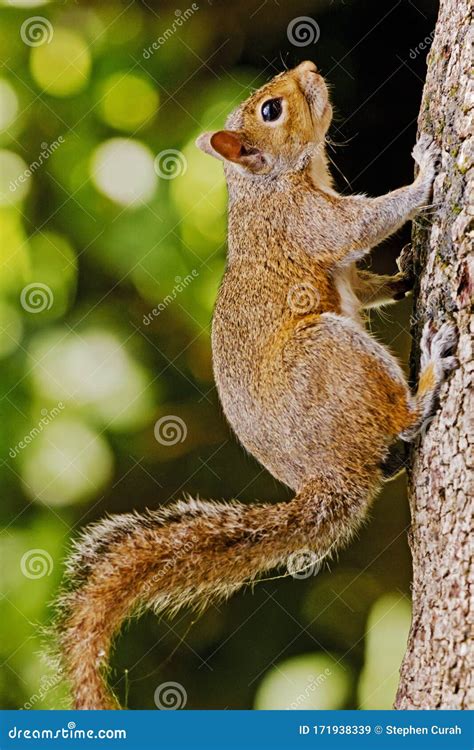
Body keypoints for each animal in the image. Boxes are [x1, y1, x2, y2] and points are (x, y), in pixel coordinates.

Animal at [54, 60, 456, 712]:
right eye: (271, 110)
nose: (310, 67)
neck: (267, 185)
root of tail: (328, 480)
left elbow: (362, 283)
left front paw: (401, 278)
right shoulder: (308, 223)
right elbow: (366, 220)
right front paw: (426, 175)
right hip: (331, 354)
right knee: (401, 420)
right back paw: (427, 379)